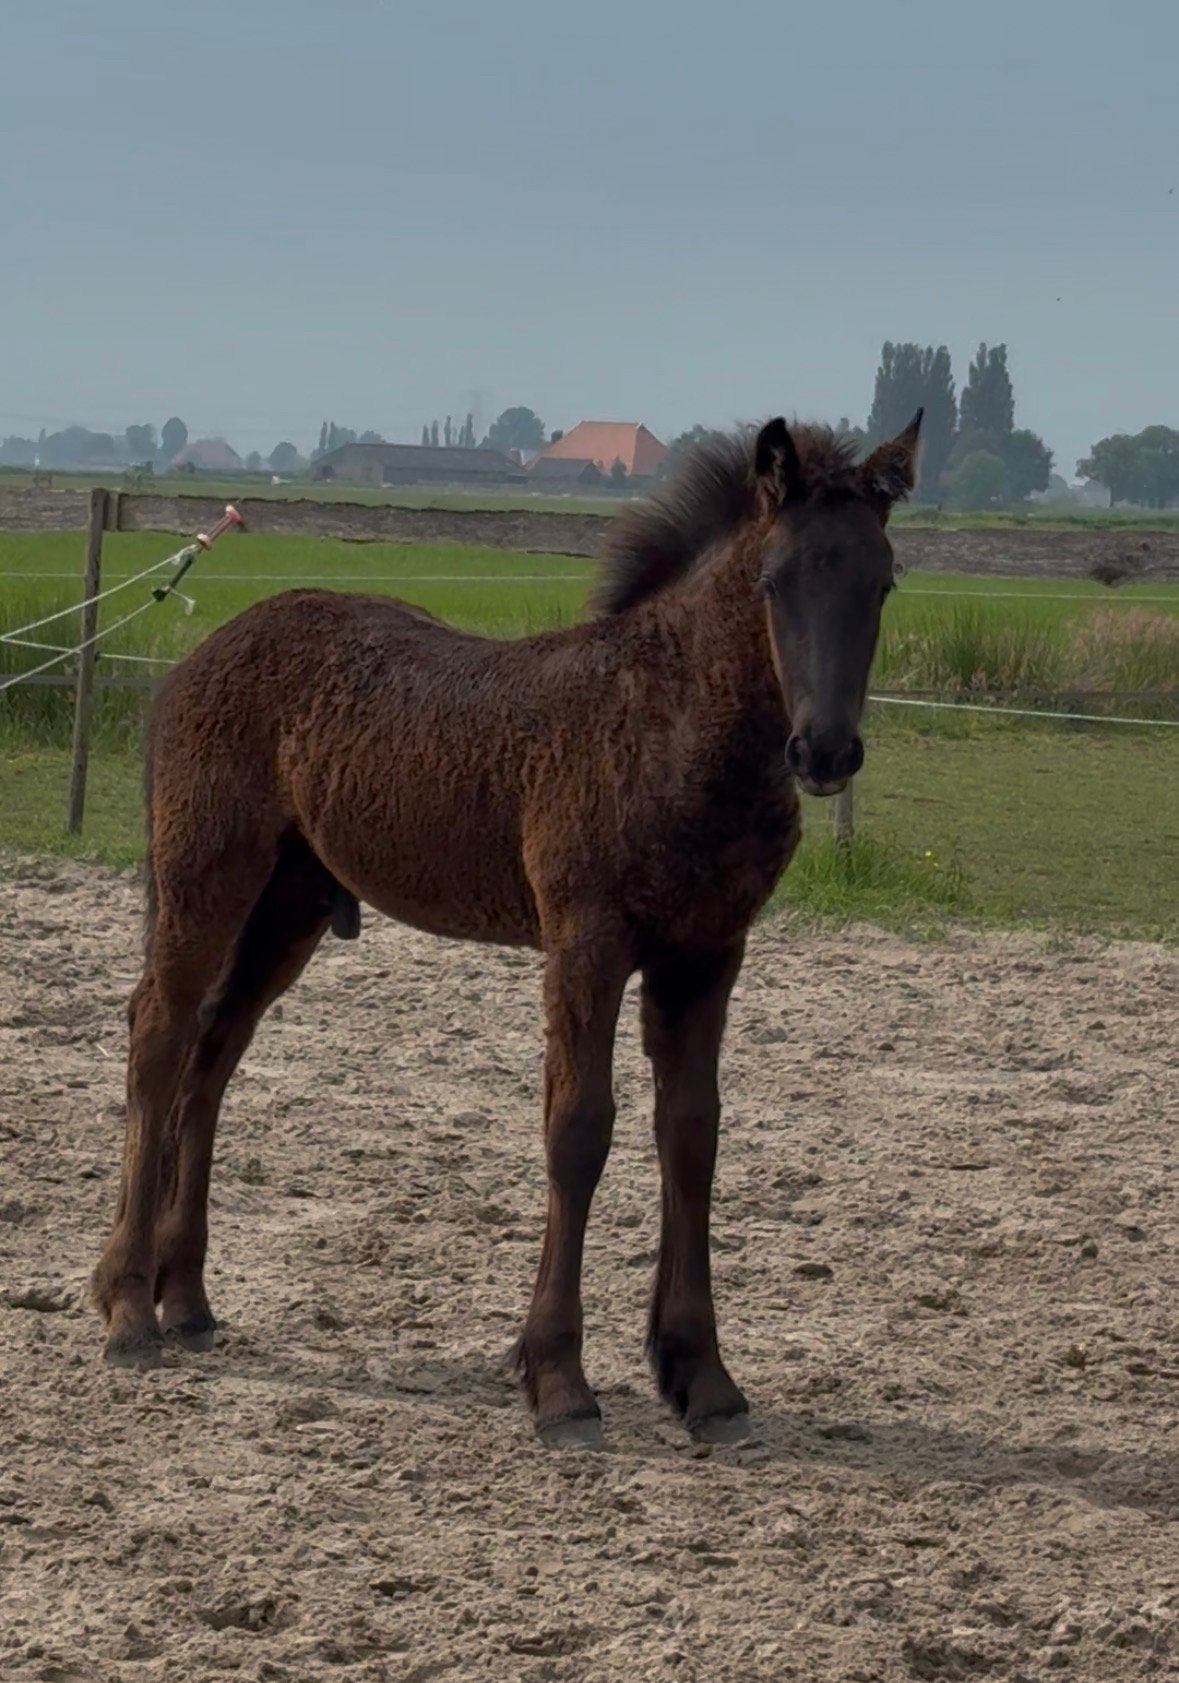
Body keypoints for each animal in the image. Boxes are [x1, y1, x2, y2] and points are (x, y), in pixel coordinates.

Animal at [92, 411, 922, 1446]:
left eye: (881, 581)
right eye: (774, 580)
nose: (824, 751)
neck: (665, 724)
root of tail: (196, 658)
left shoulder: (706, 952)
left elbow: (691, 1132)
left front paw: (701, 1376)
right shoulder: (585, 943)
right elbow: (578, 1129)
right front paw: (557, 1377)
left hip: (287, 908)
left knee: (213, 1054)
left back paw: (187, 1297)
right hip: (205, 878)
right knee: (158, 1036)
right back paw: (128, 1305)